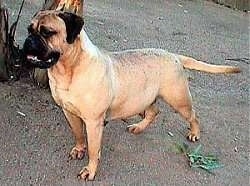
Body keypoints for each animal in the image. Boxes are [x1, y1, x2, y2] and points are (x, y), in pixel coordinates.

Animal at [23, 10, 240, 180]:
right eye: (29, 30)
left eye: (47, 32)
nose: (28, 40)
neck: (69, 69)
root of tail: (174, 55)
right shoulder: (69, 112)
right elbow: (78, 134)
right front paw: (79, 149)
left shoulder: (93, 122)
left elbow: (94, 149)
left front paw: (90, 170)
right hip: (145, 98)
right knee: (154, 112)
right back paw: (138, 127)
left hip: (179, 100)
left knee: (193, 116)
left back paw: (194, 133)